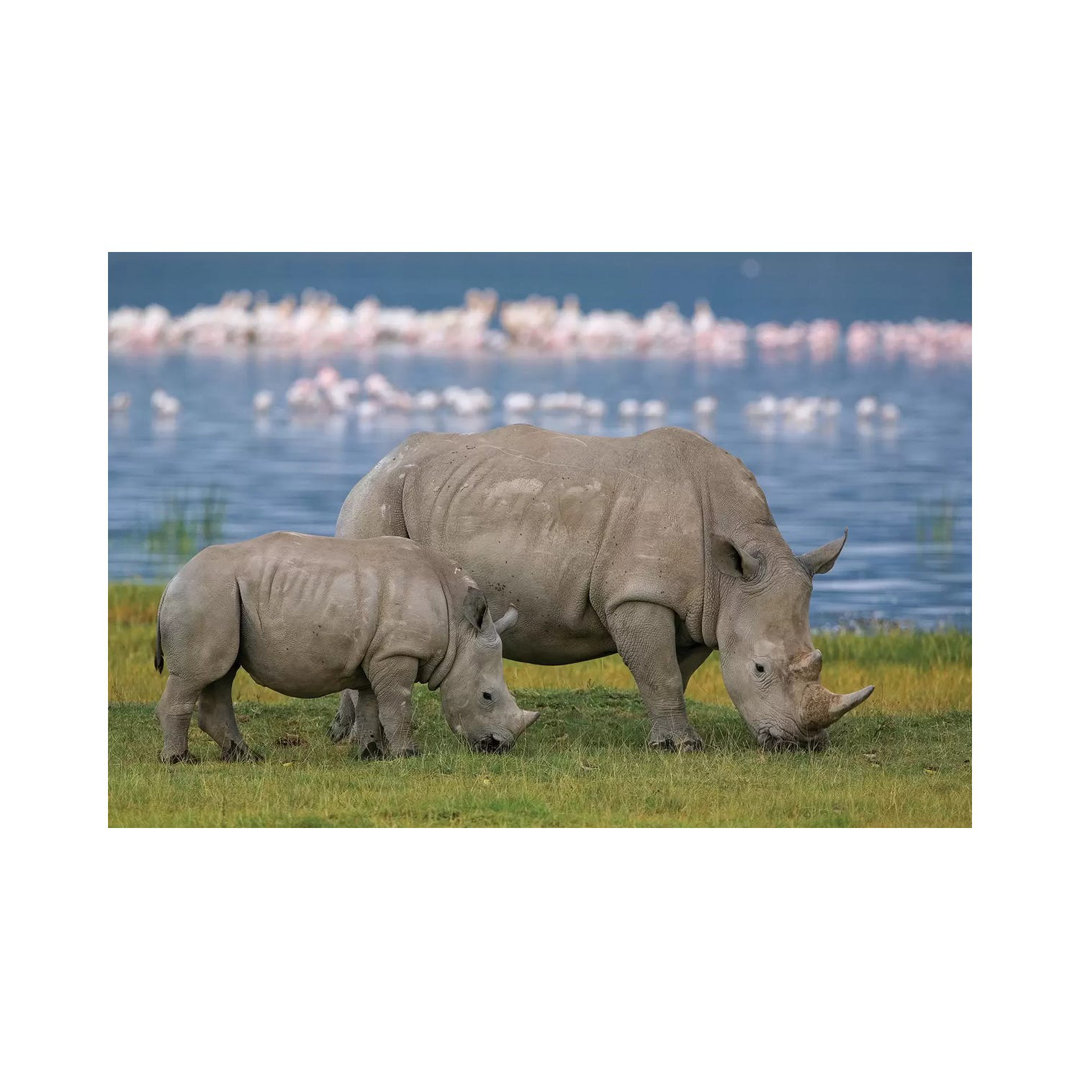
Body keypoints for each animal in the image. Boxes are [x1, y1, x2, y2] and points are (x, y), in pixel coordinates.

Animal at [153, 531, 538, 763]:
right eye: (487, 697)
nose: (499, 747)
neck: (459, 631)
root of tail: (172, 581)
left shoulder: (378, 653)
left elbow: (371, 704)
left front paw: (371, 754)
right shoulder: (397, 651)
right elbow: (398, 704)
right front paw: (408, 755)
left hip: (217, 597)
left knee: (220, 673)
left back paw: (246, 757)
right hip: (205, 594)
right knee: (197, 676)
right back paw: (180, 761)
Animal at [335, 424, 873, 751]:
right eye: (760, 668)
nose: (800, 744)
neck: (732, 570)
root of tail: (381, 460)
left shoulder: (704, 611)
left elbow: (673, 673)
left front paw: (667, 737)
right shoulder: (638, 594)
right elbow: (660, 673)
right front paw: (680, 747)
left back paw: (345, 735)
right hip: (381, 498)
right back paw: (355, 740)